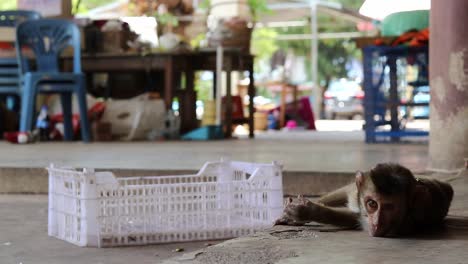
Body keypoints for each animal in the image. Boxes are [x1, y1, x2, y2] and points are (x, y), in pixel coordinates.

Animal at [274, 163, 454, 237]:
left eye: (390, 207)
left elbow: (355, 219)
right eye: (372, 204)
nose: (377, 223)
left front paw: (306, 212)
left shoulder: (408, 221)